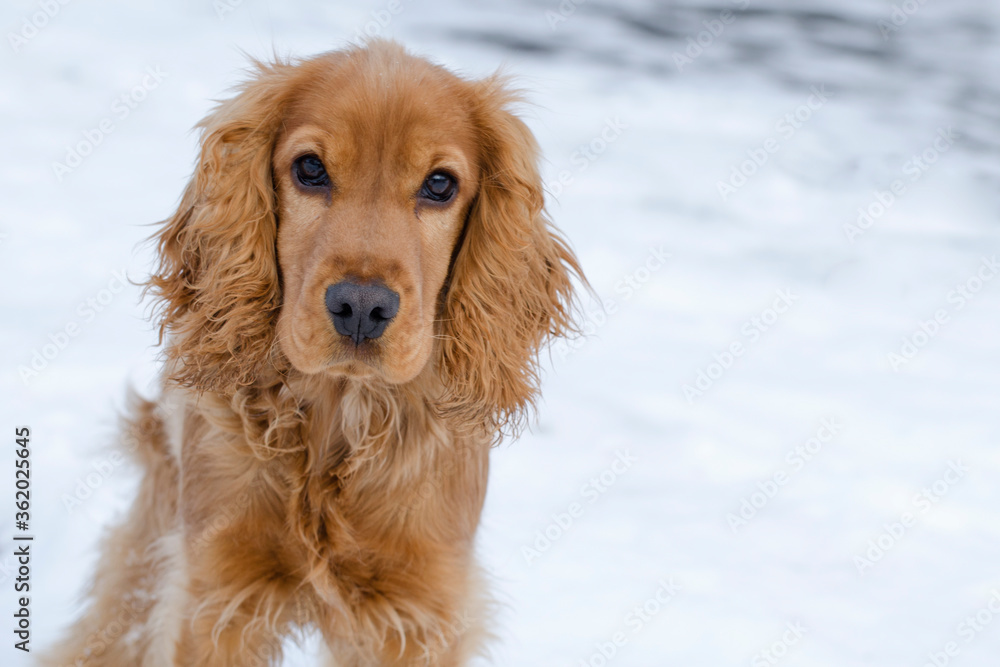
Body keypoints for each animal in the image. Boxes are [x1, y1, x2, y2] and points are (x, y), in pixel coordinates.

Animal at [45, 41, 580, 667]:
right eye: (310, 169)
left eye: (440, 185)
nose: (361, 307)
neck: (339, 414)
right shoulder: (215, 597)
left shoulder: (420, 608)